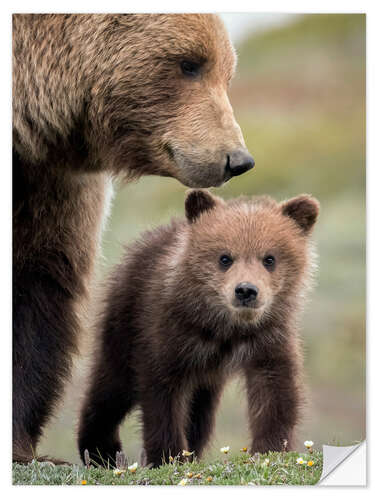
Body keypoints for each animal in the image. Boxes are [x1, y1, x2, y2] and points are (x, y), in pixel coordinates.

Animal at [12, 12, 256, 464]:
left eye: (226, 72)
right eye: (189, 64)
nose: (237, 159)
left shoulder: (49, 183)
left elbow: (38, 281)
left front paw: (22, 443)